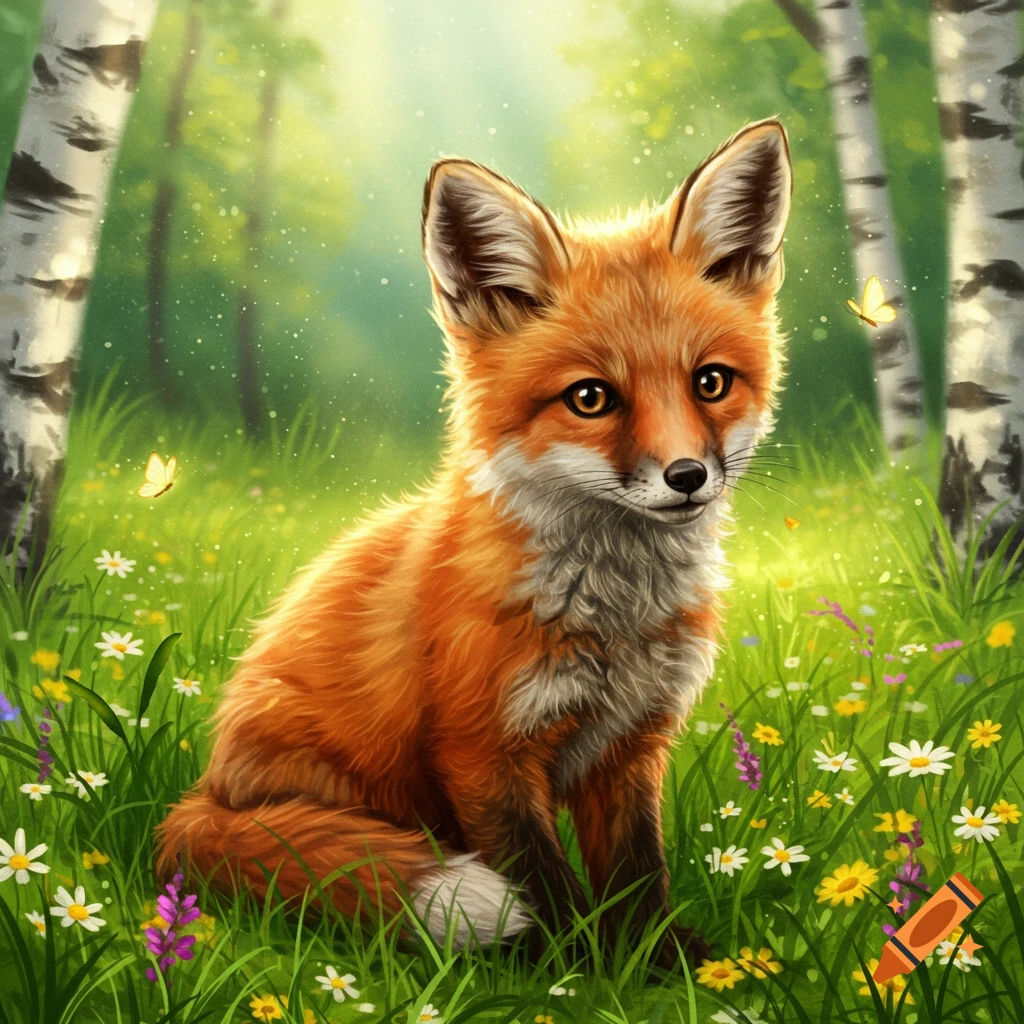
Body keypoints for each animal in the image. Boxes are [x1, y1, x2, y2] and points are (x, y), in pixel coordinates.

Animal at [157, 118, 792, 964]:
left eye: (710, 382)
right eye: (591, 398)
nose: (688, 477)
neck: (614, 613)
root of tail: (204, 794)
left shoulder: (630, 745)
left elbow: (636, 876)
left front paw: (660, 964)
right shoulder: (482, 753)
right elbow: (544, 885)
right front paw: (573, 970)